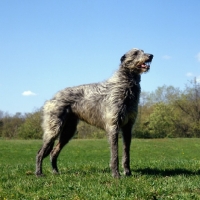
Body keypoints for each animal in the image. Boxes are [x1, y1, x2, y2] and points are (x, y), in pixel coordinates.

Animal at [35, 48, 153, 178]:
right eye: (136, 53)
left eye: (143, 51)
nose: (151, 55)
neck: (124, 84)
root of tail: (52, 98)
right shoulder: (113, 125)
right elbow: (115, 154)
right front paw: (116, 174)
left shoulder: (127, 127)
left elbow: (126, 153)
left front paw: (128, 172)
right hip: (53, 129)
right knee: (40, 152)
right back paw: (39, 173)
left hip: (68, 131)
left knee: (53, 152)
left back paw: (55, 171)